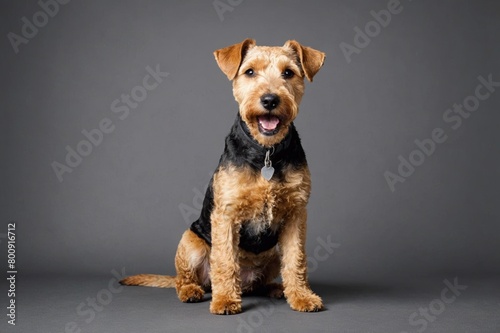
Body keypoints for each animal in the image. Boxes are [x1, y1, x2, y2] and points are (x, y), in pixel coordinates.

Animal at [119, 39, 326, 314]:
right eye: (250, 71)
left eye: (288, 73)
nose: (270, 100)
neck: (266, 153)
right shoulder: (227, 214)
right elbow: (226, 261)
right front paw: (226, 300)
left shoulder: (296, 214)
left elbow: (296, 260)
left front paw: (302, 296)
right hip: (191, 242)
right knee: (187, 279)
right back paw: (193, 291)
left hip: (272, 254)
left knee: (259, 282)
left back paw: (276, 288)